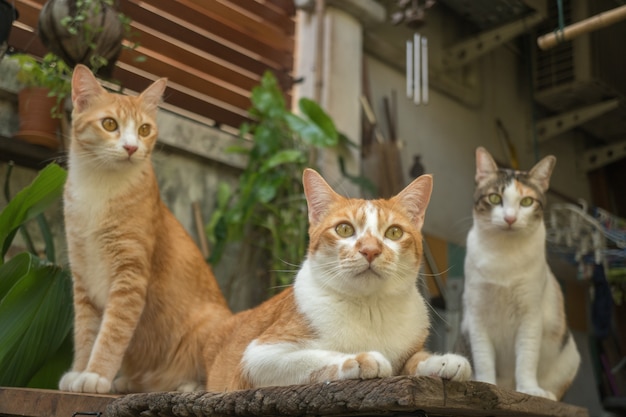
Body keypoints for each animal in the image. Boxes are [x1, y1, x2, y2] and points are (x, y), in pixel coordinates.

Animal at [204, 168, 468, 390]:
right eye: (344, 229)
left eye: (394, 232)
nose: (370, 250)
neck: (370, 309)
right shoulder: (258, 357)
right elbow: (318, 356)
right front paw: (362, 358)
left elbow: (416, 358)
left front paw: (443, 361)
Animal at [458, 146, 580, 400]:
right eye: (495, 198)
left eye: (526, 201)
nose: (510, 218)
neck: (504, 256)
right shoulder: (477, 314)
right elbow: (484, 358)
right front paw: (486, 383)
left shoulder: (531, 314)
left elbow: (526, 357)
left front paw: (529, 390)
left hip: (570, 355)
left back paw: (547, 394)